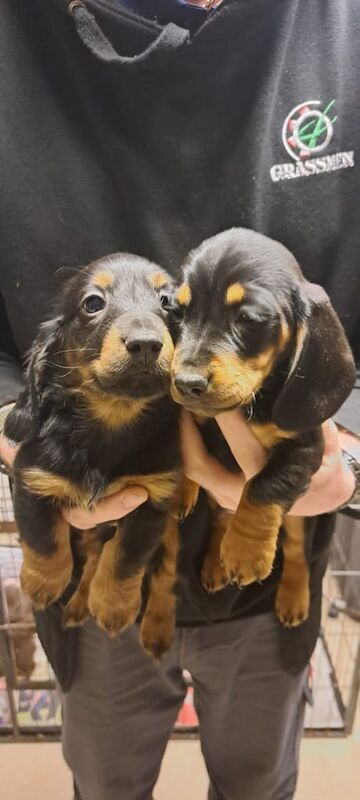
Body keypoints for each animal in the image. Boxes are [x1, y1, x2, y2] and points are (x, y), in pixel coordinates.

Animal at [4, 255, 186, 656]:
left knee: (164, 574)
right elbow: (44, 540)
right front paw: (42, 584)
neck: (111, 420)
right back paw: (77, 604)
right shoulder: (34, 480)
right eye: (92, 303)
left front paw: (114, 606)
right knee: (90, 559)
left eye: (168, 302)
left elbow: (124, 559)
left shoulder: (153, 502)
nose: (146, 344)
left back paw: (157, 626)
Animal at [170, 228, 356, 628]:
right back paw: (215, 563)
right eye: (176, 311)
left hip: (301, 519)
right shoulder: (191, 418)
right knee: (220, 518)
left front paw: (246, 550)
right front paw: (177, 488)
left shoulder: (304, 449)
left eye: (249, 319)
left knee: (297, 552)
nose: (186, 383)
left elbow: (264, 486)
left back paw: (293, 597)